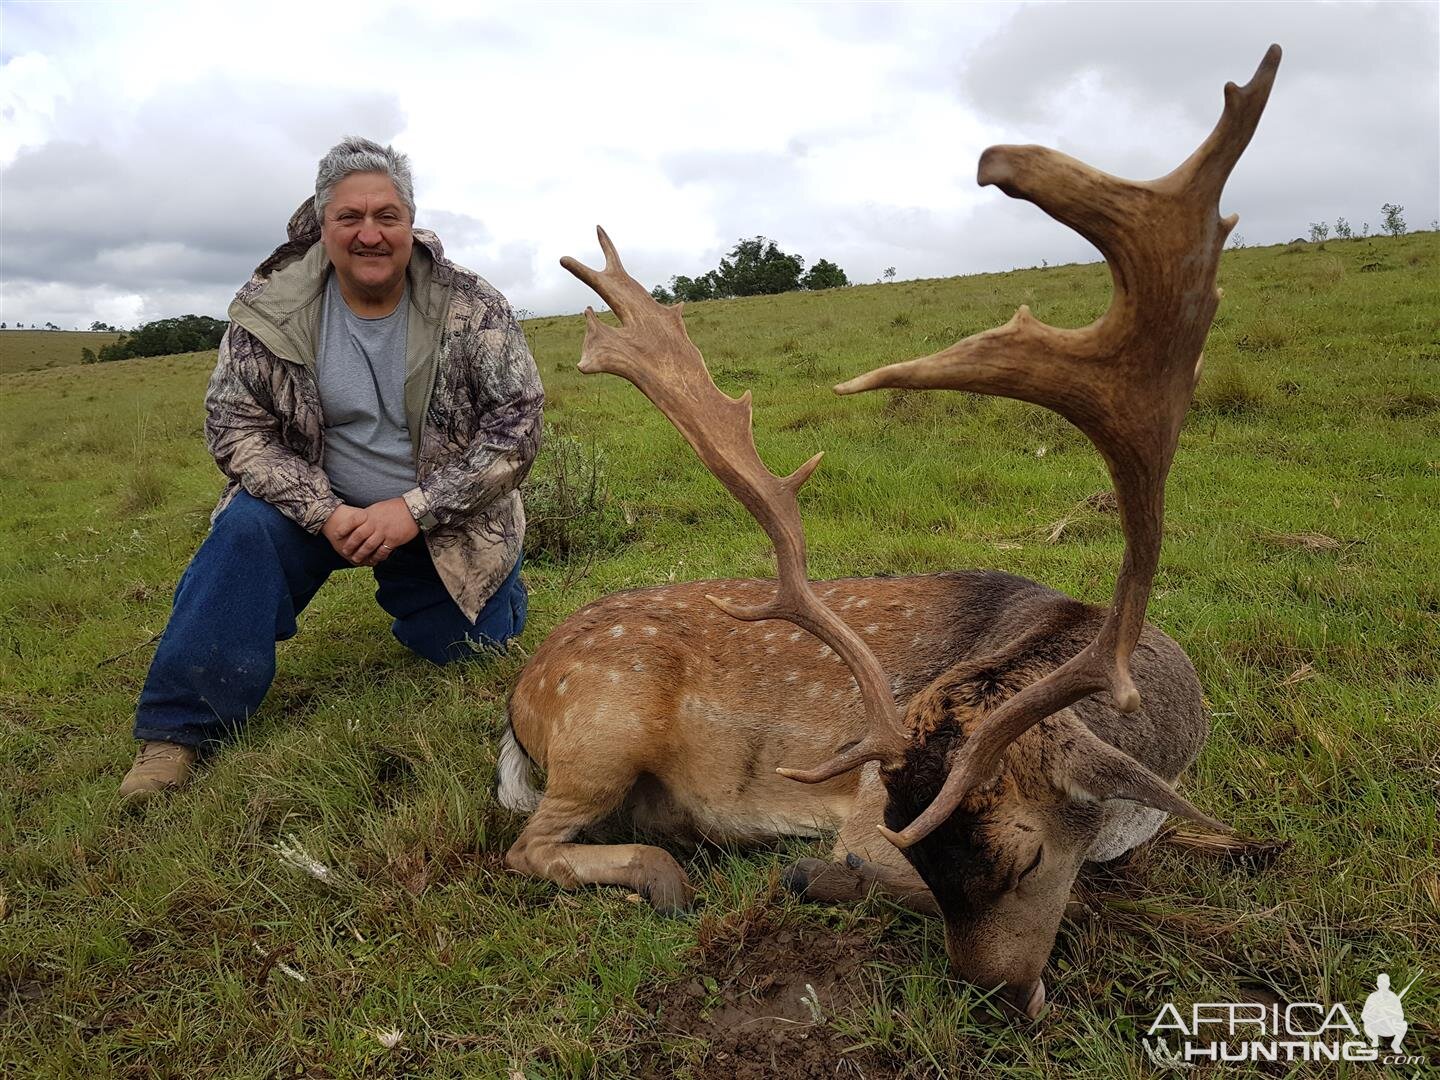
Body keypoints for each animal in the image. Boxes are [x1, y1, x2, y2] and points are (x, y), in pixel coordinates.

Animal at [498, 44, 1284, 1025]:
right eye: (920, 856)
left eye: (1027, 855)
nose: (998, 997)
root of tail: (522, 689)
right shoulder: (863, 811)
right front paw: (810, 877)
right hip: (603, 722)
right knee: (524, 847)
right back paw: (666, 874)